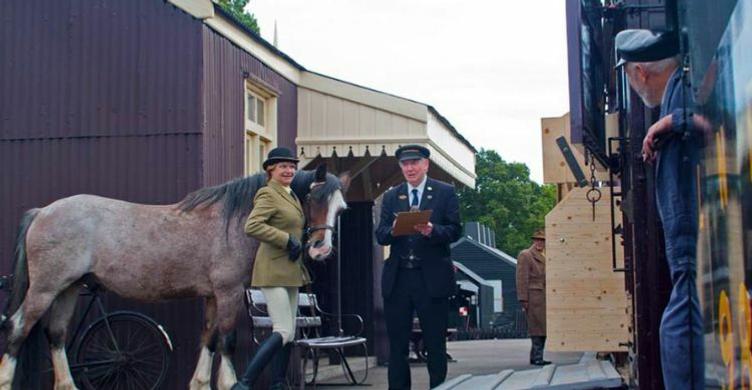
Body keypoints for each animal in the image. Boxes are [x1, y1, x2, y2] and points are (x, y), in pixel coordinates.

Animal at [0, 165, 350, 390]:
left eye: (341, 209)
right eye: (315, 198)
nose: (321, 249)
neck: (237, 221)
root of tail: (42, 212)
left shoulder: (212, 296)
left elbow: (209, 339)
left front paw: (200, 383)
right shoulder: (228, 293)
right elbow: (226, 340)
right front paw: (229, 384)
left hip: (68, 288)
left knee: (56, 334)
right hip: (45, 288)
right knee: (17, 328)